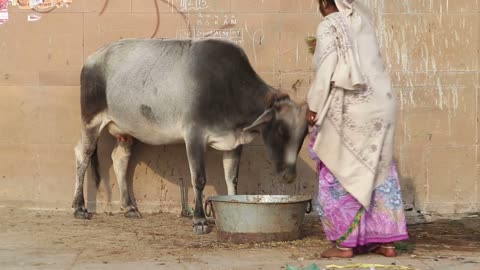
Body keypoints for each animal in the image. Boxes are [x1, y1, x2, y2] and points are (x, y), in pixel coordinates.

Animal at [73, 38, 310, 234]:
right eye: (280, 130)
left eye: (304, 134)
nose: (289, 175)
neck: (228, 86)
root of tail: (92, 58)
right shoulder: (194, 135)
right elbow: (199, 179)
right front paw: (200, 220)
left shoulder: (234, 142)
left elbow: (232, 178)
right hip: (91, 120)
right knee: (83, 155)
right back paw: (79, 207)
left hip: (126, 130)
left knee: (119, 158)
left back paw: (129, 207)